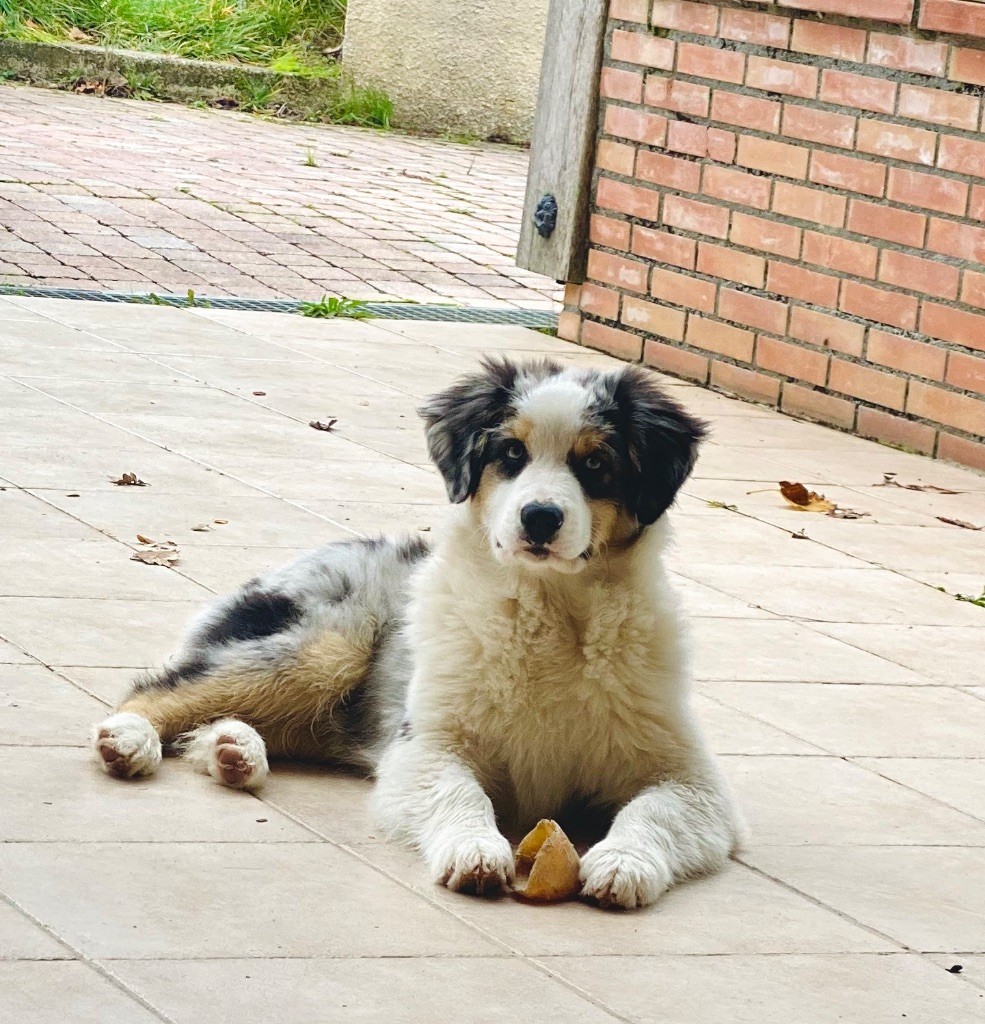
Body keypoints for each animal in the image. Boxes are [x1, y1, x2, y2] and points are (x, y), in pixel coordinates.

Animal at [92, 356, 737, 909]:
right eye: (511, 452)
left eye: (596, 464)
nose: (540, 518)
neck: (549, 612)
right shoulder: (425, 744)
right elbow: (460, 792)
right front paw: (474, 851)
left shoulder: (691, 776)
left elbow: (656, 810)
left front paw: (623, 865)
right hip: (327, 648)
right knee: (159, 689)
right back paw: (131, 740)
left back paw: (233, 752)